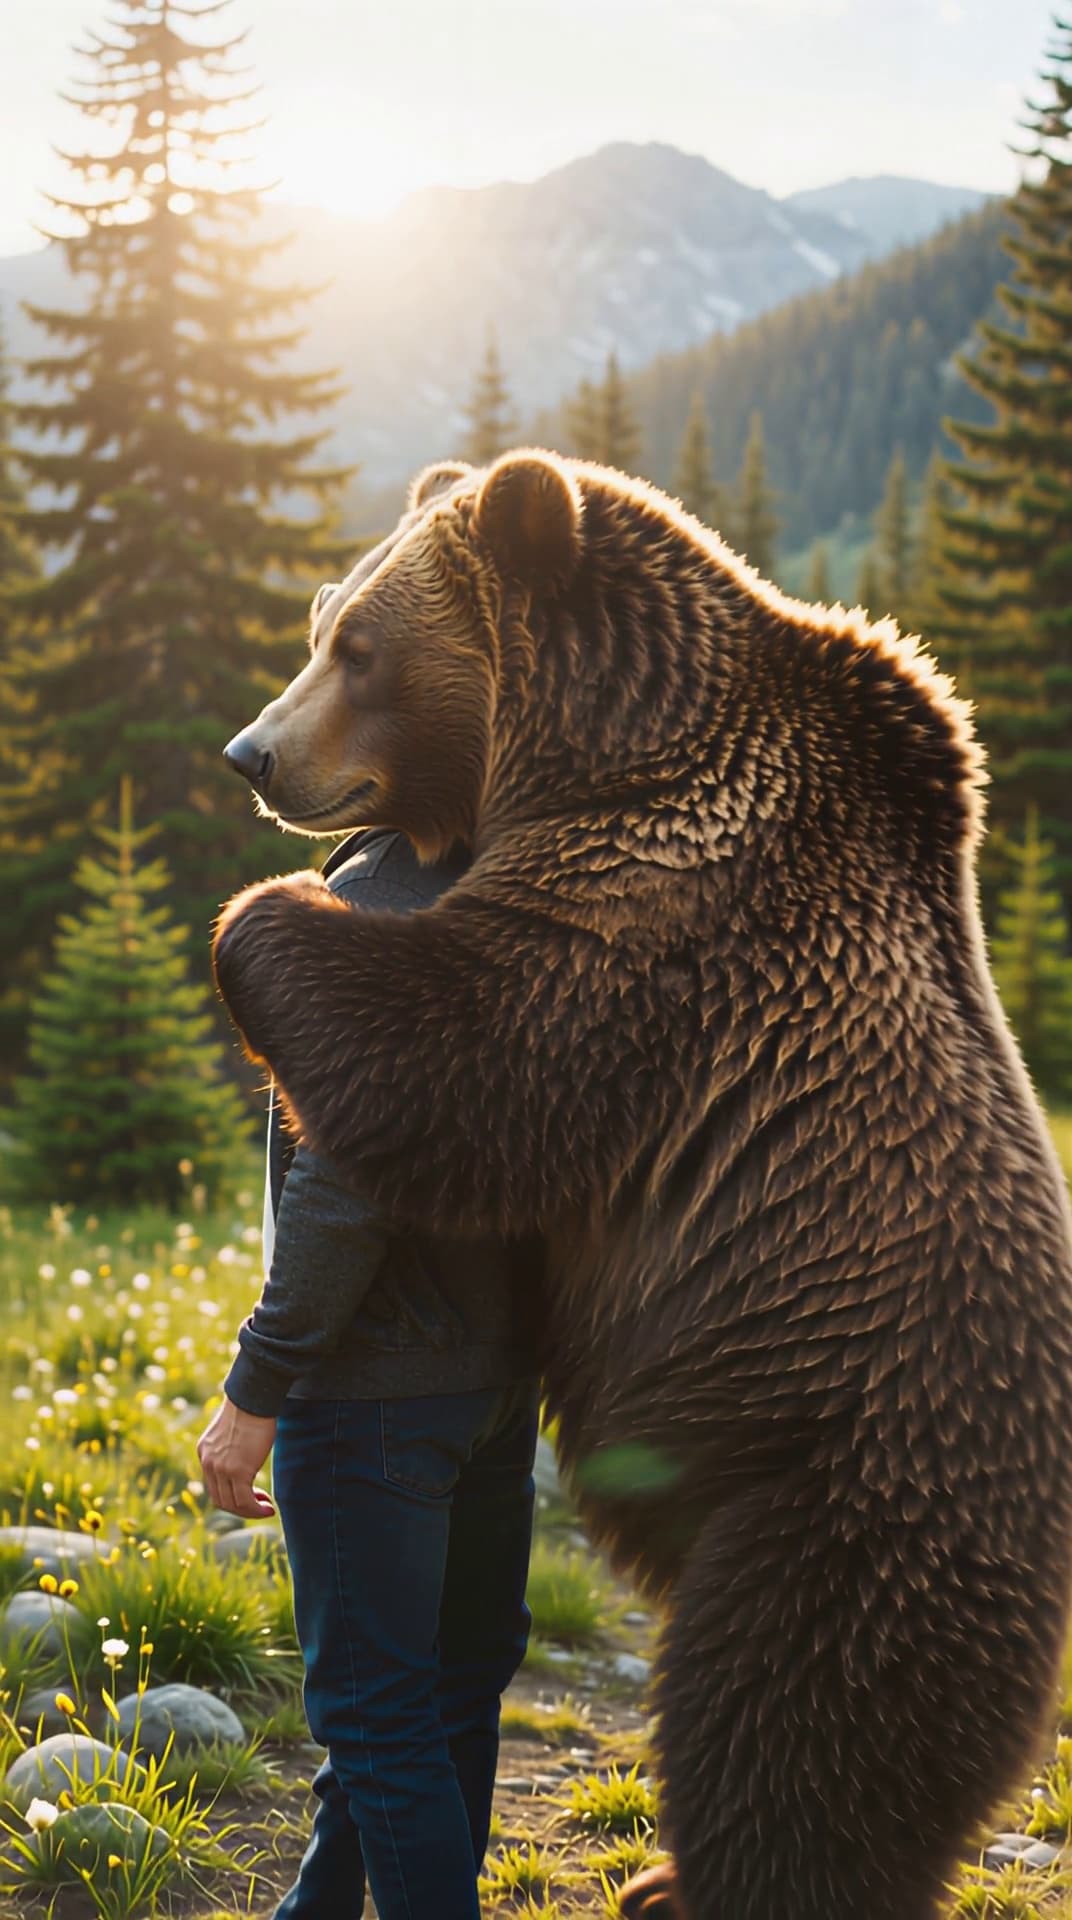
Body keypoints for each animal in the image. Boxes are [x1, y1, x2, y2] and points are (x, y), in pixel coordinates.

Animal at [213, 450, 1072, 1920]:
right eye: (325, 617)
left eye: (360, 645)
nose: (253, 753)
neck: (599, 745)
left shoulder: (660, 924)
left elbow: (465, 1056)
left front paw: (264, 912)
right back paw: (668, 1878)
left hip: (842, 1489)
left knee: (791, 1724)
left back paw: (703, 1877)